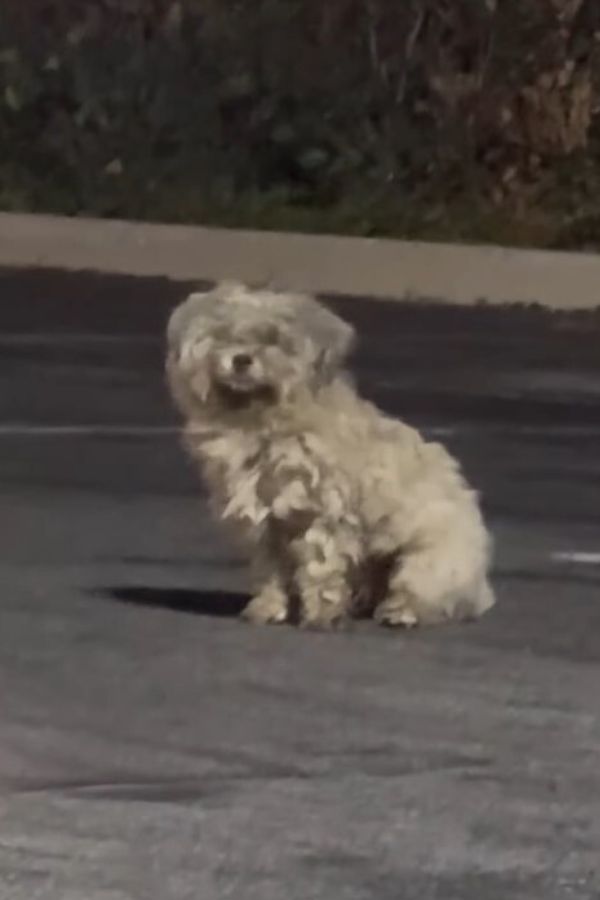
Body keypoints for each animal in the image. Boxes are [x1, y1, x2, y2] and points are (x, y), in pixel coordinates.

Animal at [166, 280, 494, 624]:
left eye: (275, 339)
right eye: (223, 335)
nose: (241, 359)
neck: (264, 422)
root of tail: (481, 590)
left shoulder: (323, 514)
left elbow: (320, 567)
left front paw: (321, 614)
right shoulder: (262, 521)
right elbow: (269, 570)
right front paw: (268, 607)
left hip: (428, 559)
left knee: (421, 591)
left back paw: (401, 610)